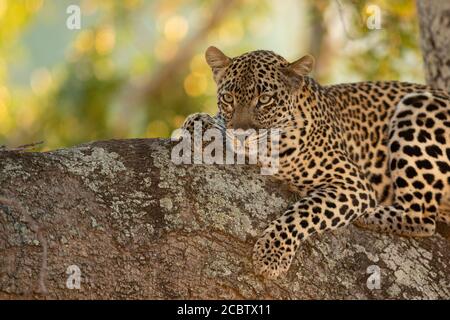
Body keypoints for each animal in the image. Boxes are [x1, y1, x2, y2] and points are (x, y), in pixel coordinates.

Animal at [180, 46, 450, 278]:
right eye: (228, 98)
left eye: (265, 99)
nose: (240, 134)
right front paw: (201, 123)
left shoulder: (352, 183)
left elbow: (303, 212)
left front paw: (271, 255)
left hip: (418, 108)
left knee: (421, 218)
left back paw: (369, 214)